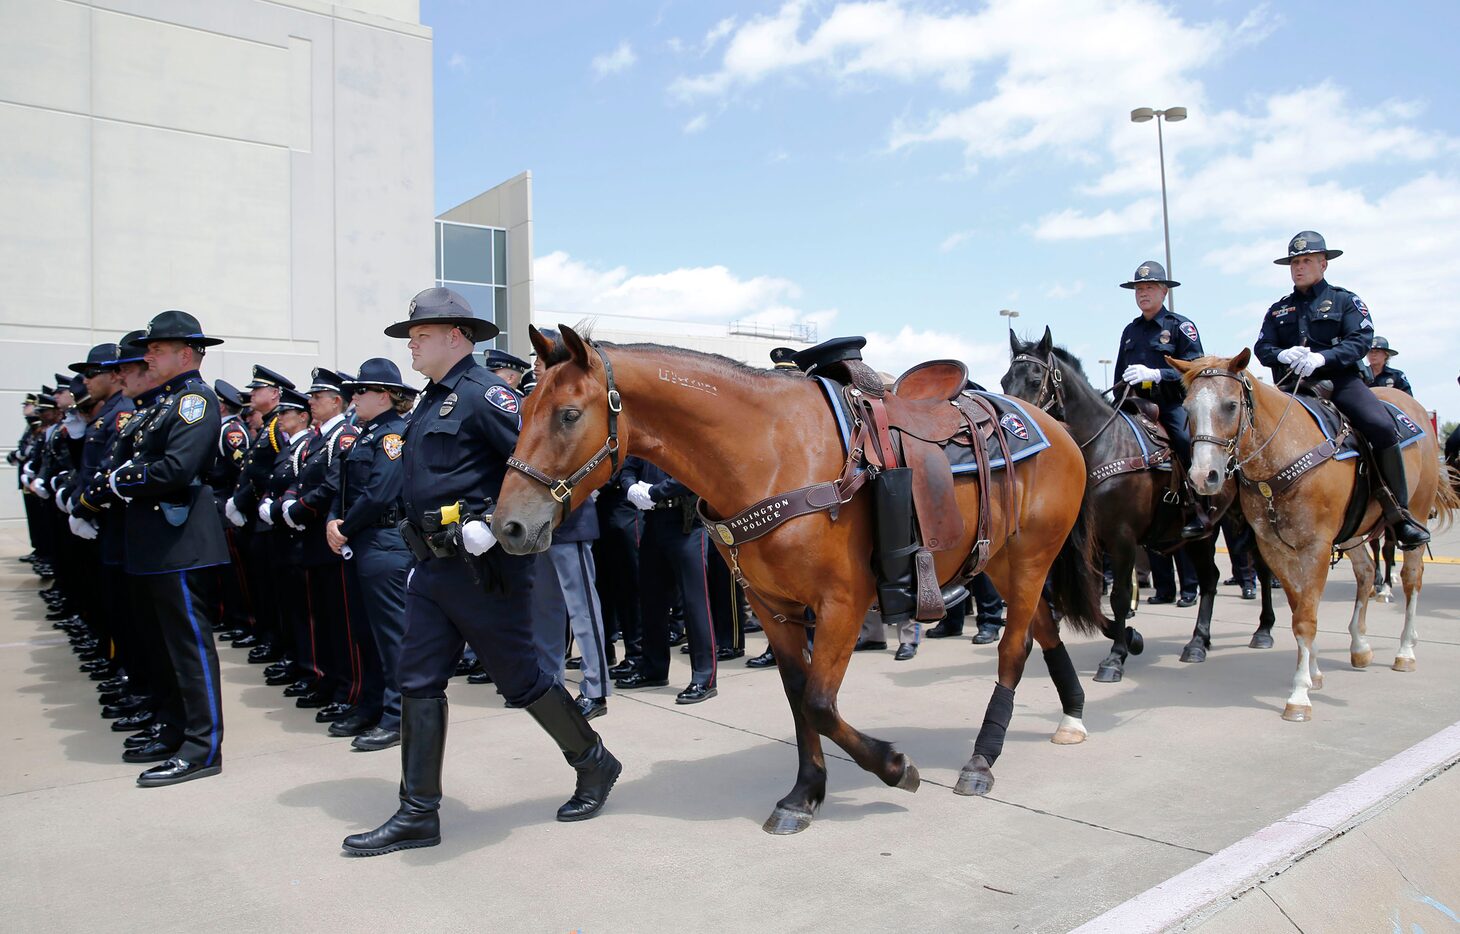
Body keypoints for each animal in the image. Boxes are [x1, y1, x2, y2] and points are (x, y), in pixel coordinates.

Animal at [490, 326, 1103, 828]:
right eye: (522, 410)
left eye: (569, 414)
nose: (508, 525)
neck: (772, 453)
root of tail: (1049, 424)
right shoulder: (772, 606)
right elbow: (797, 696)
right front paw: (805, 794)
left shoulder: (842, 603)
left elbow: (819, 703)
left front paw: (894, 765)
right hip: (1001, 558)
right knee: (1043, 631)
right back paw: (1072, 713)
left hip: (1030, 558)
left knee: (1014, 648)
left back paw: (982, 758)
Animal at [1004, 328, 1278, 677]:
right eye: (1004, 380)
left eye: (1035, 378)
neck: (1104, 447)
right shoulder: (1084, 543)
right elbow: (1079, 597)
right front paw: (1130, 637)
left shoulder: (1121, 538)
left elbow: (1119, 596)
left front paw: (1116, 656)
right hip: (1198, 536)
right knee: (1210, 579)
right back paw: (1198, 642)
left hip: (1248, 521)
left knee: (1261, 568)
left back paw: (1262, 630)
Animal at [1173, 350, 1460, 723]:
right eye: (1188, 408)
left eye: (1231, 405)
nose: (1202, 476)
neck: (1282, 456)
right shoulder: (1275, 549)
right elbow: (1299, 610)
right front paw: (1313, 672)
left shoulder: (1317, 548)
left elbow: (1306, 619)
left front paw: (1299, 695)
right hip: (1353, 531)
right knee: (1366, 572)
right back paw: (1360, 646)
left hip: (1417, 514)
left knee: (1412, 580)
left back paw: (1405, 650)